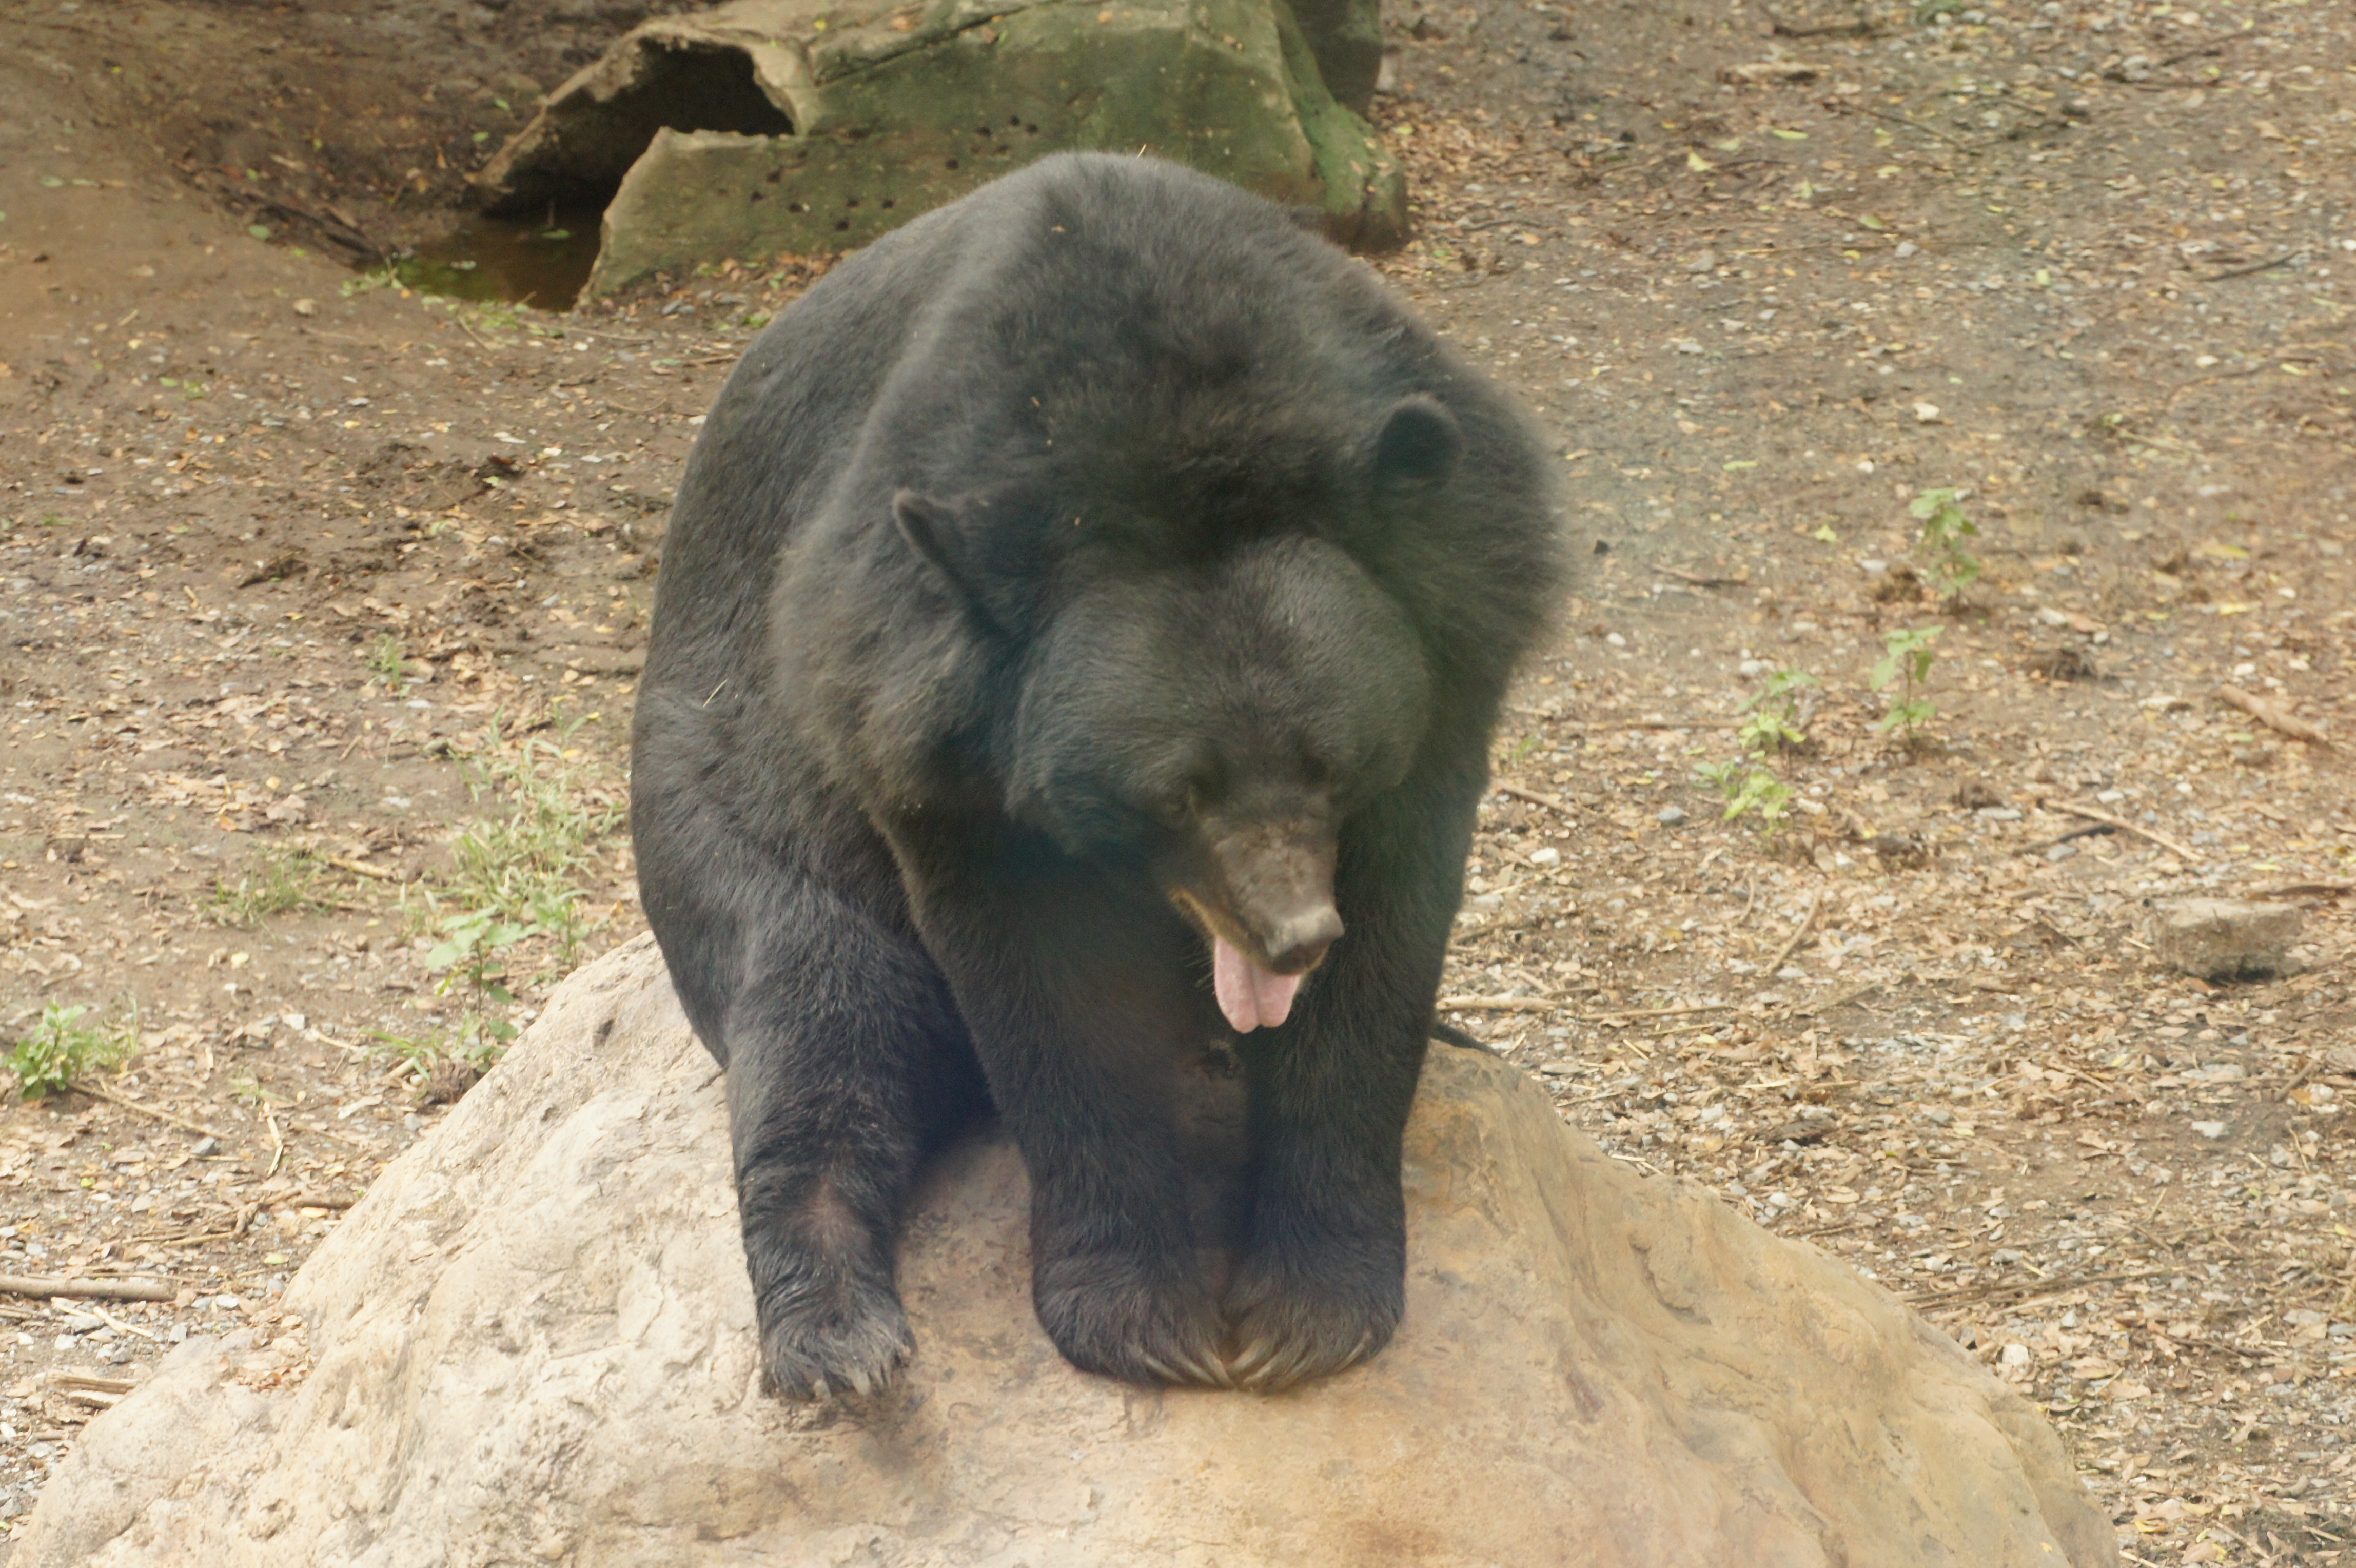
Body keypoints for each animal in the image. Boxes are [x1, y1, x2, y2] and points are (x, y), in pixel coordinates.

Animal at [636, 149, 1574, 1394]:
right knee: (816, 1014)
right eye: (1176, 791)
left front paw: (1304, 1312)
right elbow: (1051, 999)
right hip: (725, 809)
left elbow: (1385, 955)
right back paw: (839, 1339)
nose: (1292, 935)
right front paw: (1144, 1317)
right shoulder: (926, 732)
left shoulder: (1455, 638)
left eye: (1332, 765)